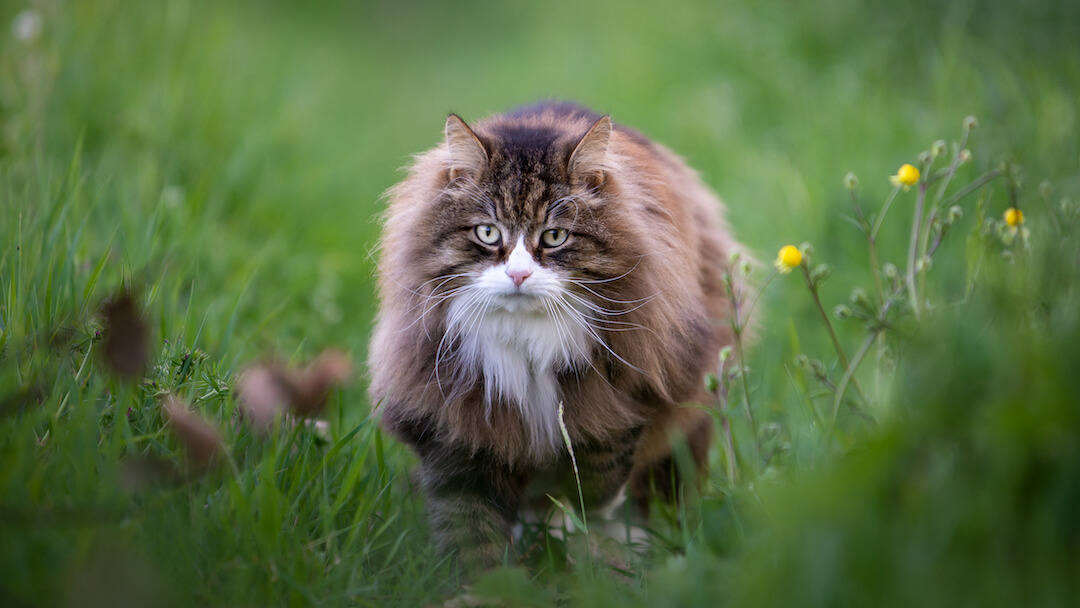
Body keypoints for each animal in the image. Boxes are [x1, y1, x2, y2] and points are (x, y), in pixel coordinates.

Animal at [367, 102, 747, 574]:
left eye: (554, 236)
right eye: (487, 232)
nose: (518, 274)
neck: (525, 342)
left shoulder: (622, 402)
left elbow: (596, 476)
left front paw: (594, 528)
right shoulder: (456, 429)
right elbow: (472, 536)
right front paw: (487, 583)